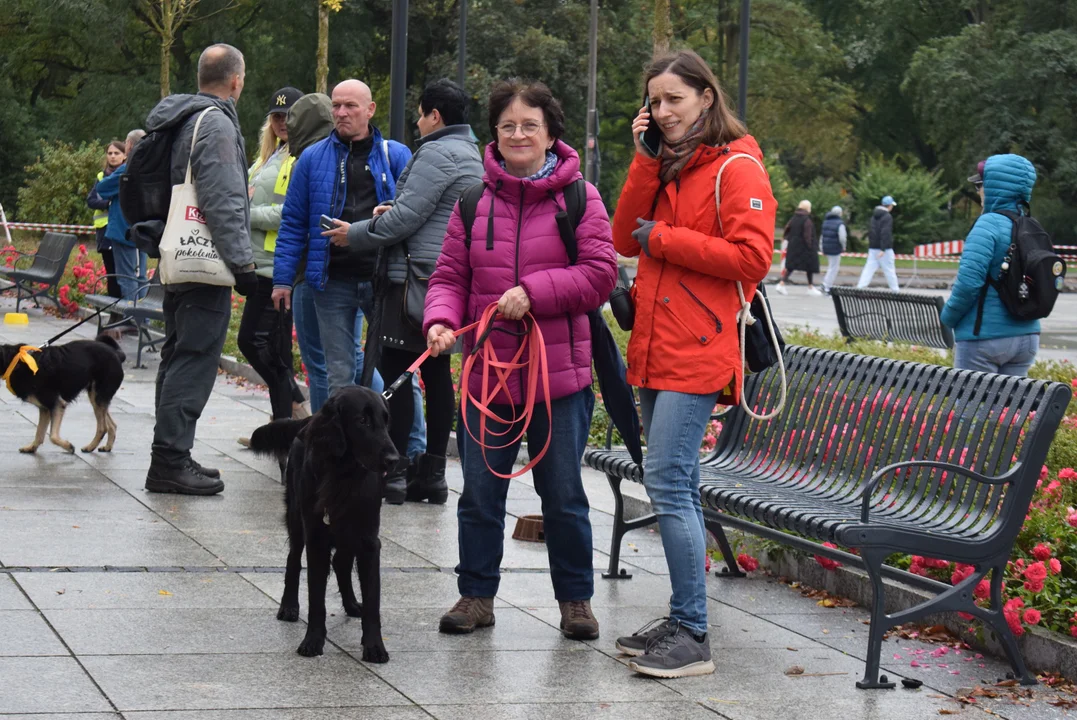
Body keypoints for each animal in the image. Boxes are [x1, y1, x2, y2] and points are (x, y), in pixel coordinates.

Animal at [247, 385, 400, 658]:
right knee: (293, 559)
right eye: (362, 421)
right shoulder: (316, 538)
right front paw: (313, 641)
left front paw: (374, 646)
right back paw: (289, 606)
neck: (343, 476)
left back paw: (352, 604)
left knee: (340, 562)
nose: (394, 460)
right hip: (297, 518)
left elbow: (373, 601)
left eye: (386, 421)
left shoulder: (369, 540)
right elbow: (316, 599)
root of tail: (309, 419)